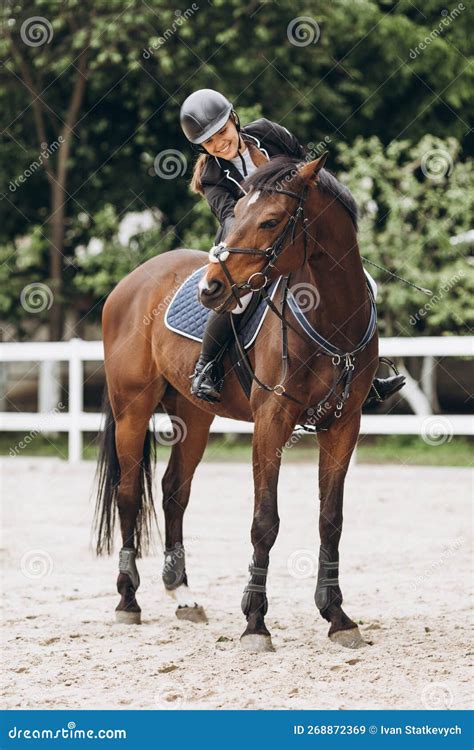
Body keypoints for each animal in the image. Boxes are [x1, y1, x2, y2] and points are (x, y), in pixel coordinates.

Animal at [95, 153, 378, 652]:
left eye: (270, 220)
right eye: (238, 213)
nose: (210, 289)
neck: (333, 316)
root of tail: (130, 283)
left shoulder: (344, 425)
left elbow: (330, 519)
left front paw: (337, 616)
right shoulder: (271, 421)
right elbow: (265, 521)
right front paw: (255, 622)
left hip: (193, 416)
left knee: (174, 492)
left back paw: (183, 595)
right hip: (132, 410)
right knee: (129, 494)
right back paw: (128, 599)